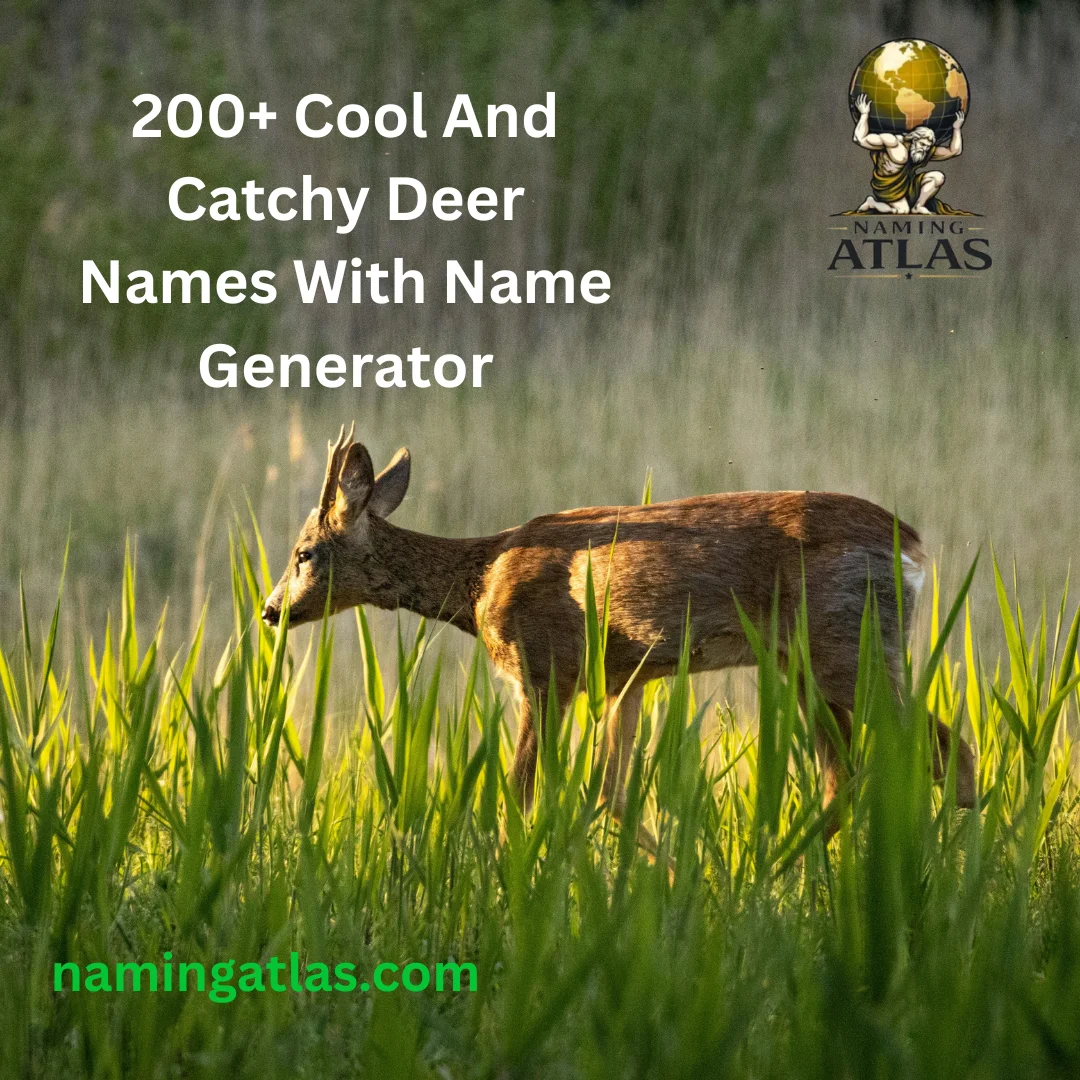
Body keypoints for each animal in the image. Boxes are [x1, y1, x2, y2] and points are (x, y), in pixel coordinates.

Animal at [262, 425, 976, 838]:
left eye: (304, 553)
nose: (270, 612)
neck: (480, 581)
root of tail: (911, 546)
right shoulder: (624, 677)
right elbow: (613, 795)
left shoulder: (543, 669)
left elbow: (520, 795)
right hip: (805, 661)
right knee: (848, 775)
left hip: (846, 647)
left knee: (950, 750)